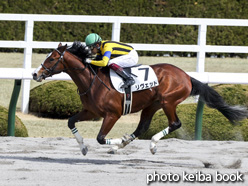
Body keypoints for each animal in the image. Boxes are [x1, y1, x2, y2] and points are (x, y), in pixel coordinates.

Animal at [33, 41, 248, 155]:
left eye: (52, 58)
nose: (36, 74)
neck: (91, 81)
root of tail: (186, 76)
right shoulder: (90, 111)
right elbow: (71, 122)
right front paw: (84, 147)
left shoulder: (112, 114)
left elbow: (101, 138)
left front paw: (116, 142)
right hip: (151, 105)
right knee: (143, 126)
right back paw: (125, 142)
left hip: (168, 101)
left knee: (175, 123)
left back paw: (150, 144)